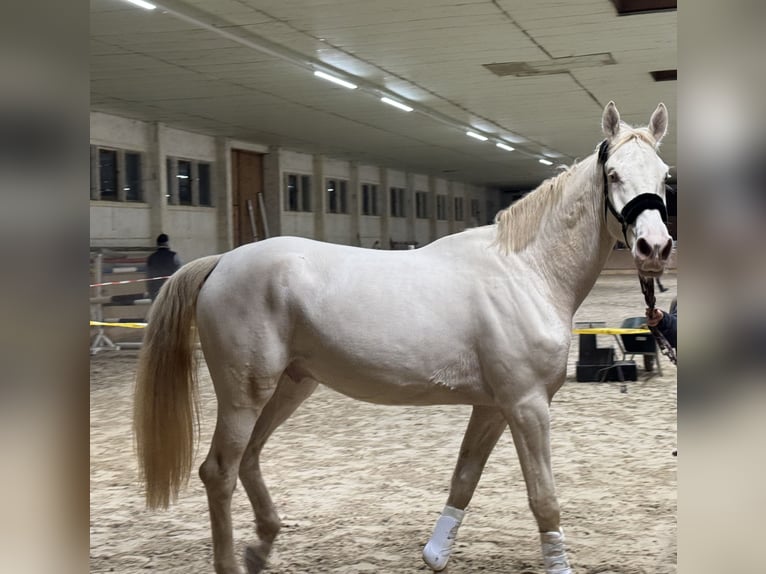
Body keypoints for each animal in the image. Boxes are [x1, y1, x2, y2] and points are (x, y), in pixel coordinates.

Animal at [134, 101, 673, 574]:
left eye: (664, 174)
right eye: (613, 174)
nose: (654, 247)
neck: (525, 272)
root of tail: (222, 261)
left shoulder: (492, 406)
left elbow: (464, 479)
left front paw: (435, 554)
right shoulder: (527, 406)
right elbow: (544, 498)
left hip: (291, 386)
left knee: (248, 459)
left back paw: (262, 546)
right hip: (245, 394)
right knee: (219, 471)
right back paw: (233, 559)